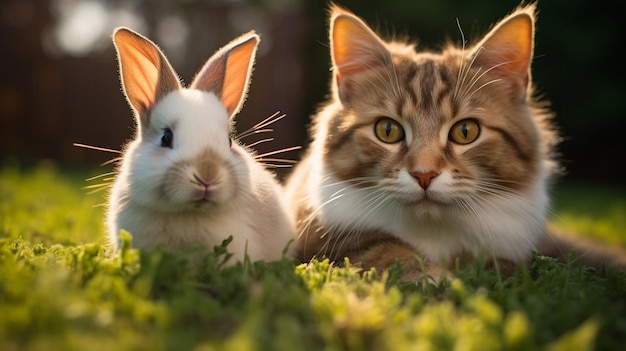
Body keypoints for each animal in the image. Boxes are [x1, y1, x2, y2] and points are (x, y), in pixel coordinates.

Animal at [284, 4, 624, 282]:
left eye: (465, 132)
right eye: (388, 130)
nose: (424, 175)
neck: (435, 229)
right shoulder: (322, 235)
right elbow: (386, 249)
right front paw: (433, 278)